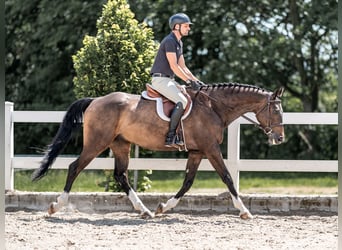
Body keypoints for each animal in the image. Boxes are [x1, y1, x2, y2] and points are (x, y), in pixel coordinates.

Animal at [32, 82, 284, 219]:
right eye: (276, 111)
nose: (279, 138)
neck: (214, 107)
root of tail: (96, 100)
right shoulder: (211, 149)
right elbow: (228, 178)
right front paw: (244, 211)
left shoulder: (197, 152)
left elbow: (188, 182)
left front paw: (164, 207)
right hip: (97, 143)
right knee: (75, 167)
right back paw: (56, 205)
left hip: (120, 144)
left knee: (121, 175)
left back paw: (145, 210)